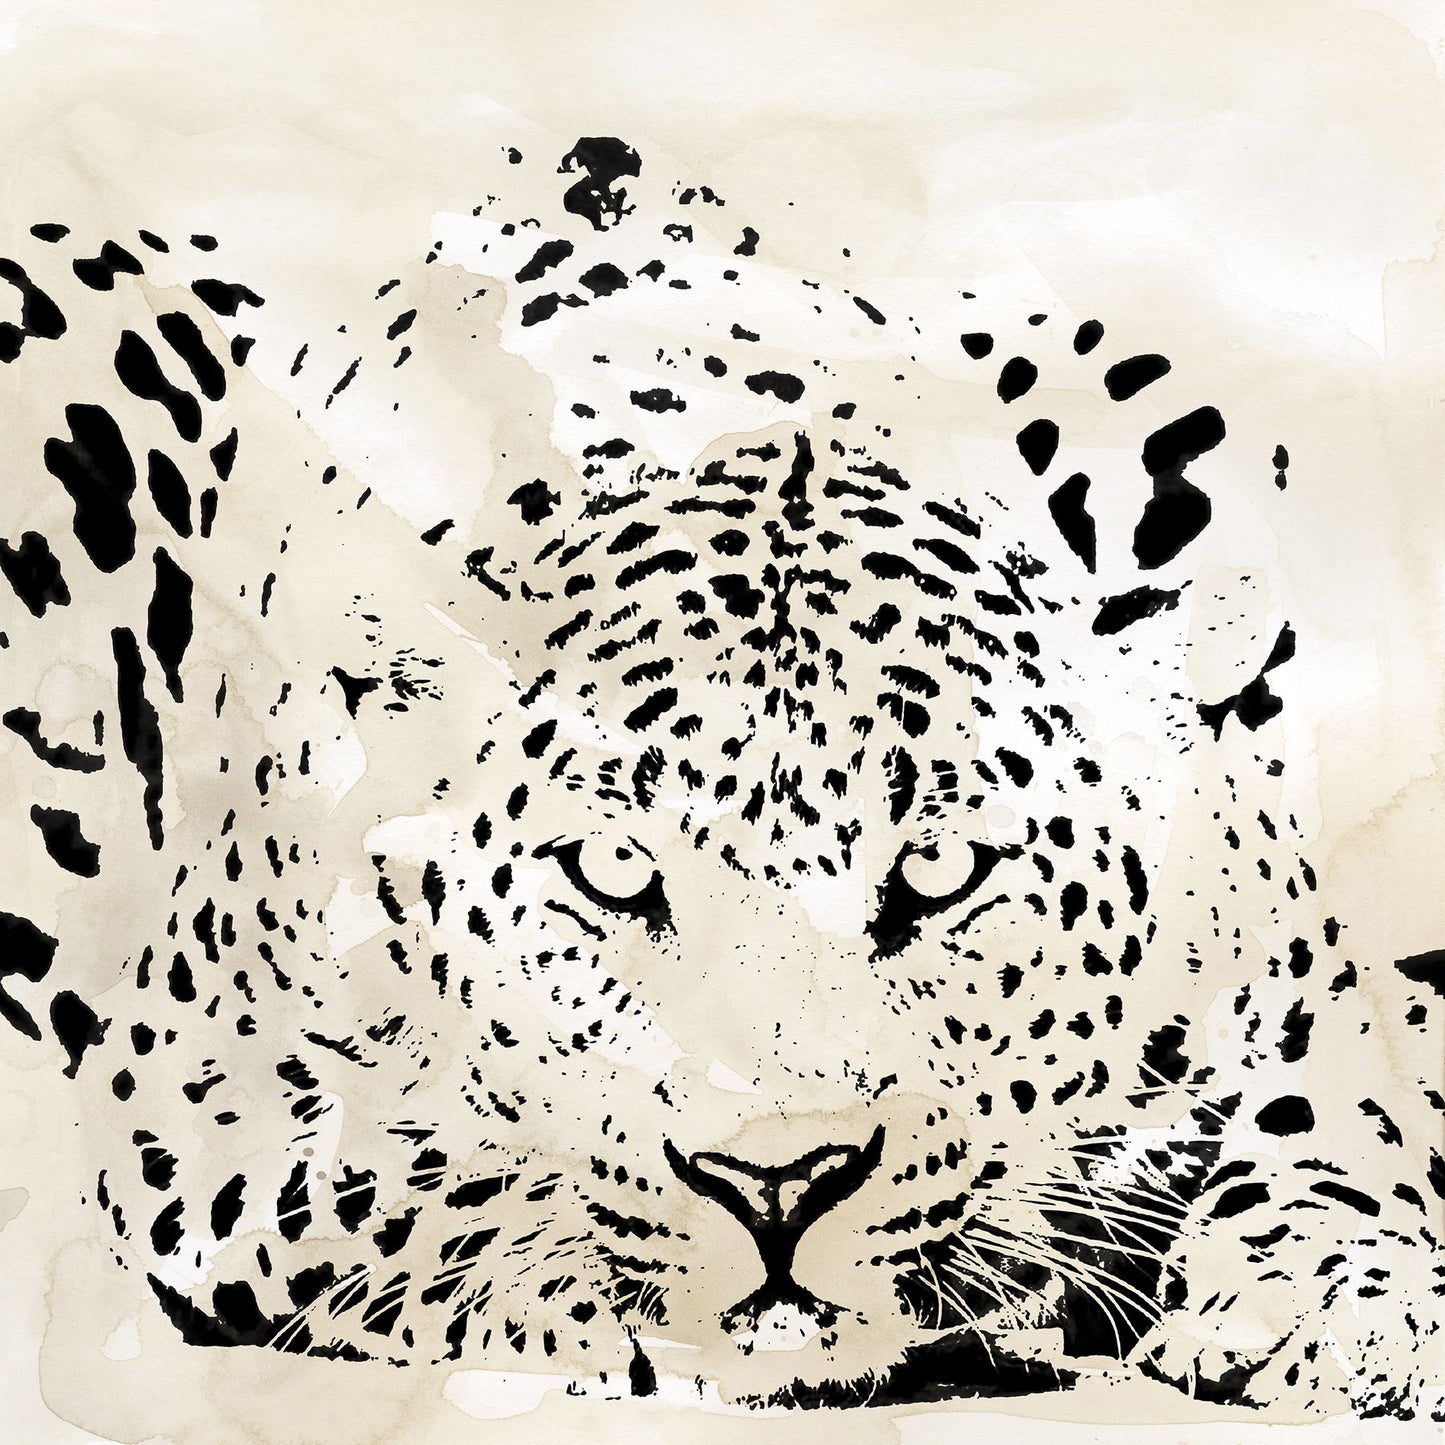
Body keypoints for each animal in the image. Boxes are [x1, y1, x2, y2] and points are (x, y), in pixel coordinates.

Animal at [1, 135, 1441, 1420]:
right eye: (612, 869)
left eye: (939, 869)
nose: (777, 1179)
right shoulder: (201, 1098)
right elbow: (432, 1184)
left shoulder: (1286, 965)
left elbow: (1329, 1117)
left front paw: (1346, 1298)